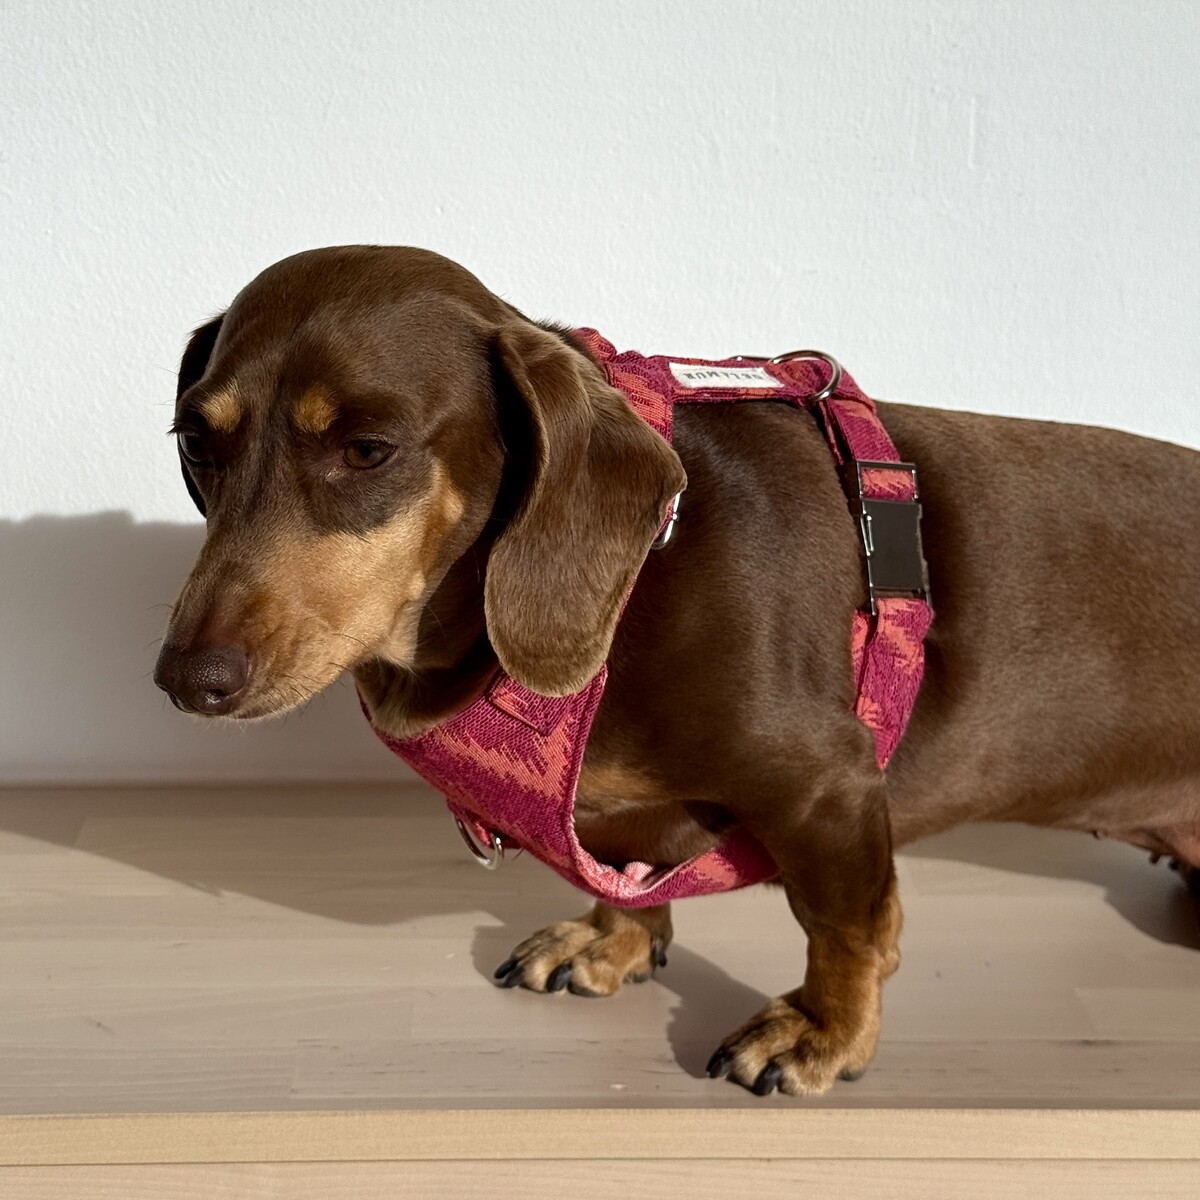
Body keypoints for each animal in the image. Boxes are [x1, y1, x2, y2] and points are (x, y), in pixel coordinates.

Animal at [155, 245, 1200, 1096]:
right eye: (196, 444)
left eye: (368, 449)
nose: (185, 681)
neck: (633, 583)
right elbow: (630, 873)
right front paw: (609, 940)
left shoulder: (829, 783)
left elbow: (847, 924)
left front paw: (823, 1033)